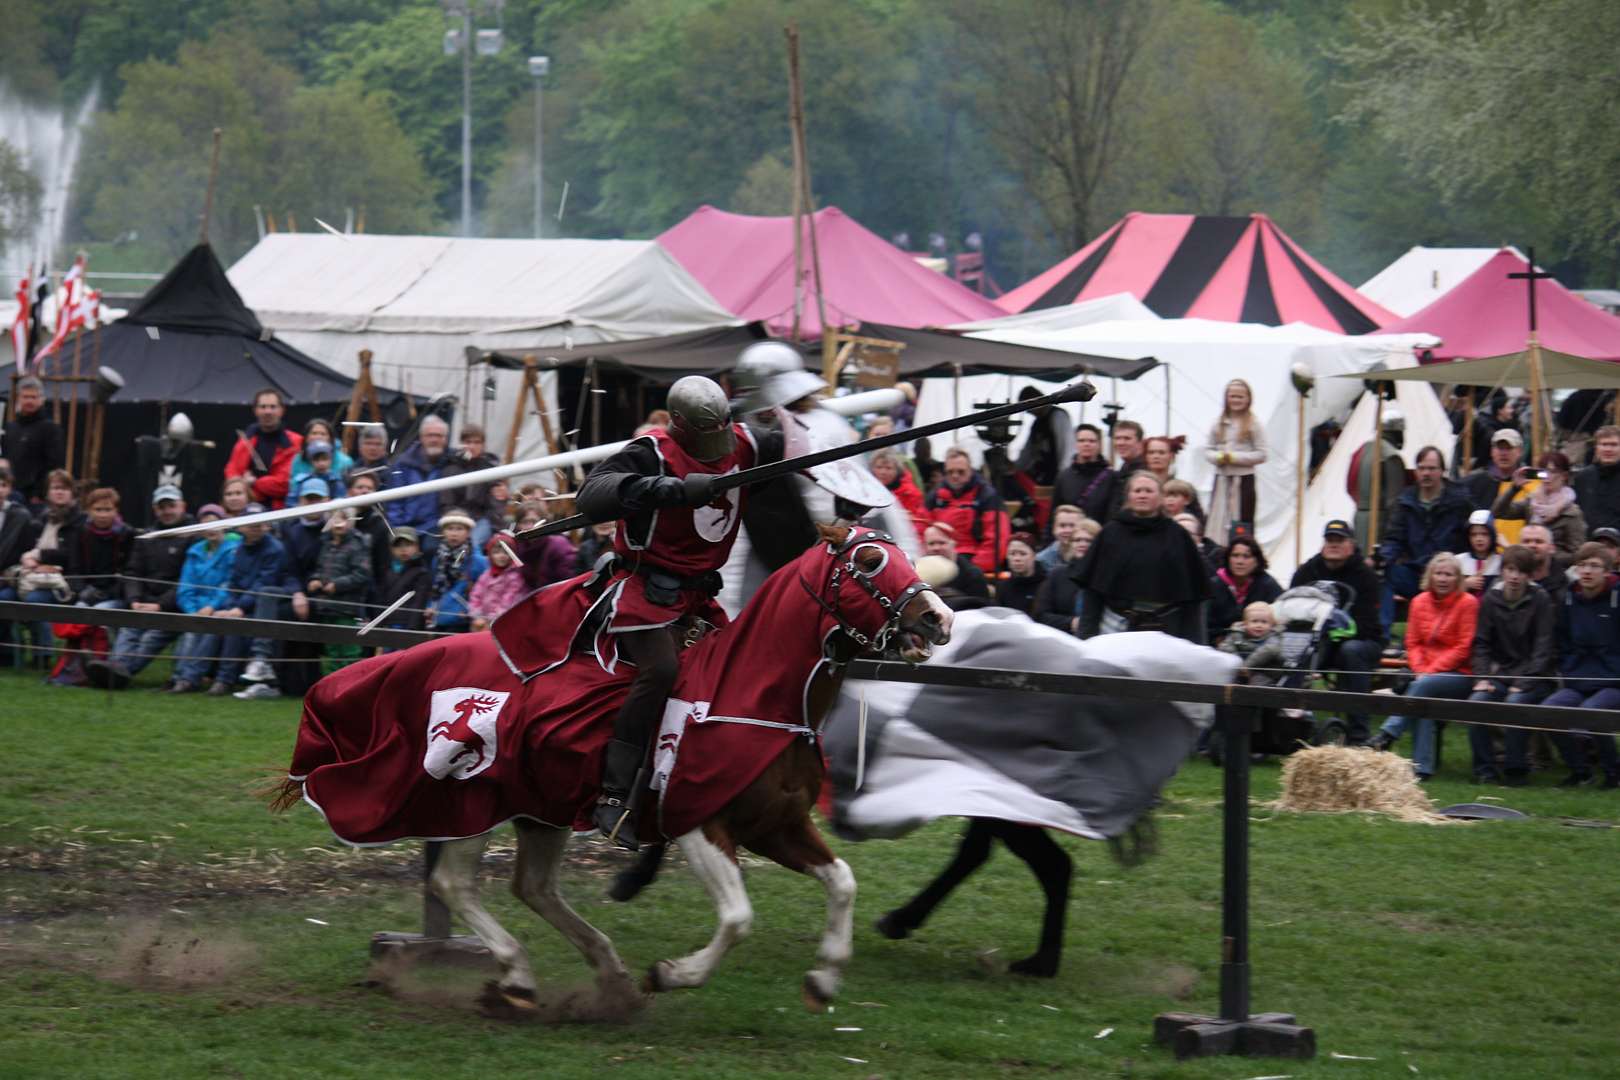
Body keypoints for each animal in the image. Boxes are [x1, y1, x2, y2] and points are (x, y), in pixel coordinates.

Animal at [268, 527, 946, 1016]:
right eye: (868, 561)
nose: (938, 618)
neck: (757, 696)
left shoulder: (776, 827)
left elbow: (844, 883)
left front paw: (824, 977)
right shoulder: (701, 826)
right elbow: (737, 919)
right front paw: (673, 974)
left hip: (539, 808)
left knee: (533, 888)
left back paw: (606, 972)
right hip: (471, 801)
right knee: (454, 884)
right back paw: (520, 975)